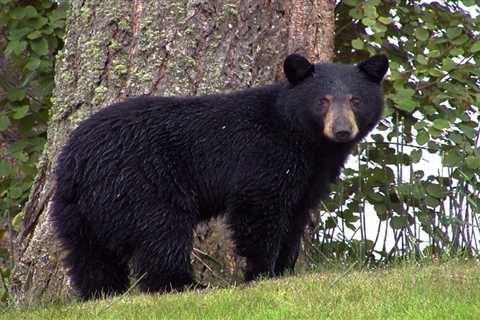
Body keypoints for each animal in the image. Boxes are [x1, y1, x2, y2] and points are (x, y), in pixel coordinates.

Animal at [51, 53, 390, 300]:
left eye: (355, 100)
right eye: (323, 100)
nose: (342, 130)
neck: (304, 140)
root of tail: (76, 160)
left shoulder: (309, 177)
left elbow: (295, 217)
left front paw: (284, 269)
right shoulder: (264, 157)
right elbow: (259, 211)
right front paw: (260, 273)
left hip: (76, 208)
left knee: (88, 254)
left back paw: (102, 293)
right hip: (141, 183)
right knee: (160, 233)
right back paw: (184, 285)